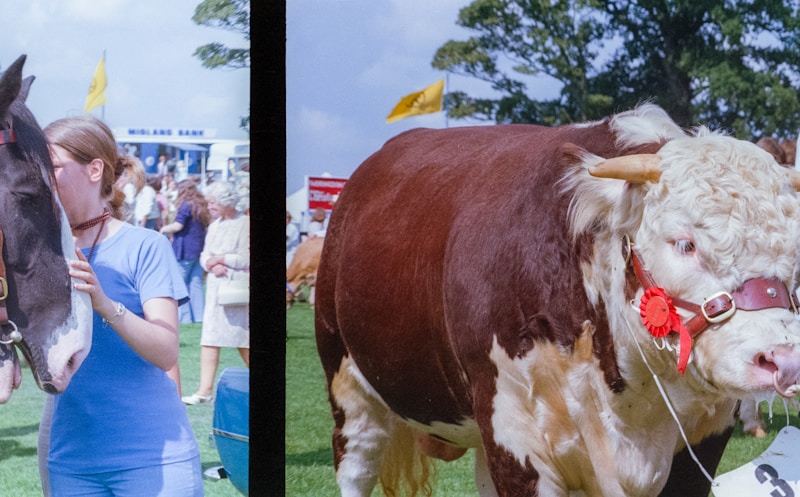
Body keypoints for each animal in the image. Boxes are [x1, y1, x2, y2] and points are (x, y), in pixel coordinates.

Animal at [314, 102, 800, 494]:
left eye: (794, 251)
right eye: (685, 243)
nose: (783, 361)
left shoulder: (702, 445)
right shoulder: (516, 442)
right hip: (350, 391)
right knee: (357, 465)